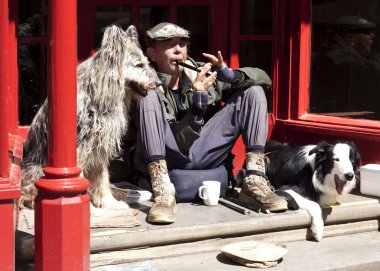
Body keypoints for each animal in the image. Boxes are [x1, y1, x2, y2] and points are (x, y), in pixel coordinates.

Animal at [21, 24, 158, 210]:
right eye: (138, 65)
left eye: (146, 62)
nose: (159, 82)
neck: (99, 92)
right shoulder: (81, 147)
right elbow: (77, 177)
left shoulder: (100, 144)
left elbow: (102, 176)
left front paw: (108, 201)